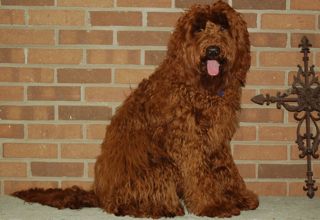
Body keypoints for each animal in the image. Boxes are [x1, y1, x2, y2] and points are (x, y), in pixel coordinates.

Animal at [13, 0, 260, 218]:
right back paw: (157, 208)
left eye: (223, 26)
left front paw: (237, 197)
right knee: (124, 204)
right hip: (158, 167)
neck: (202, 88)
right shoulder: (188, 142)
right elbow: (199, 175)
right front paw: (212, 206)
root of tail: (100, 195)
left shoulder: (218, 140)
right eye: (198, 29)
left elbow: (226, 170)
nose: (213, 50)